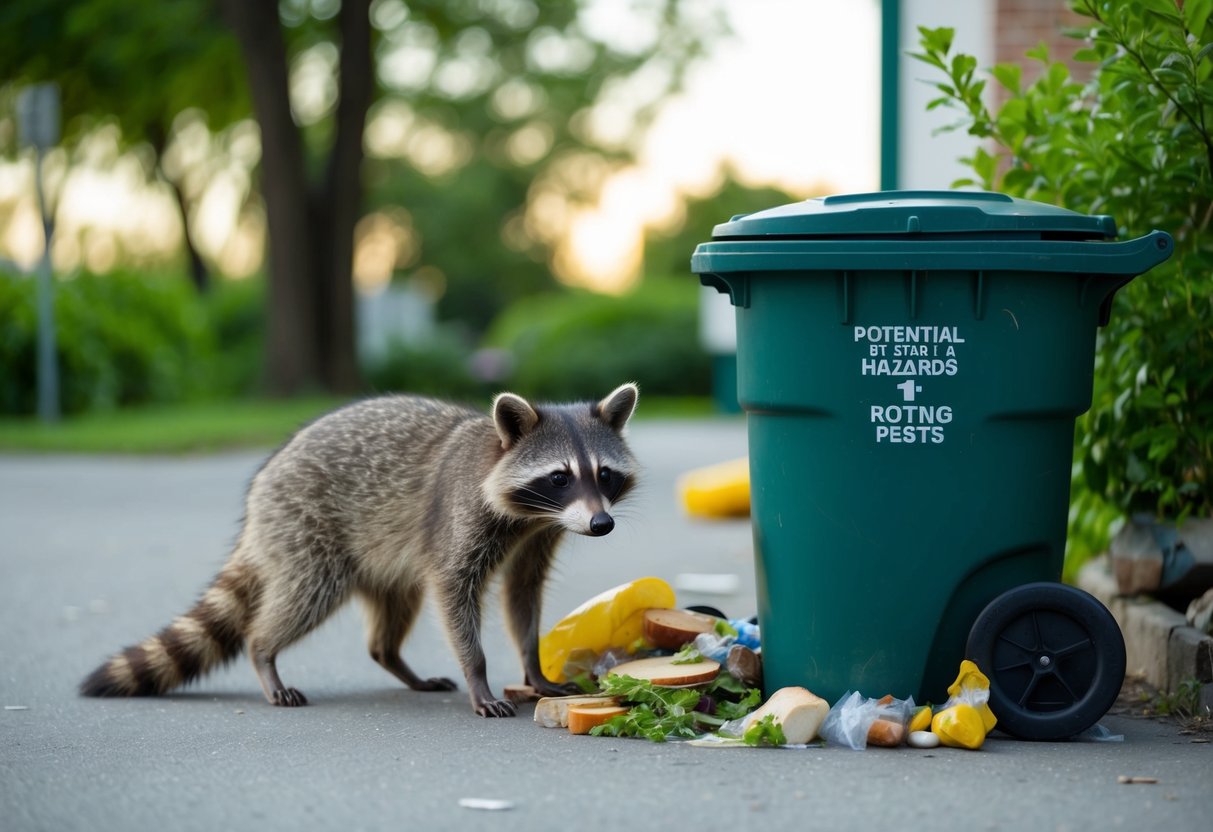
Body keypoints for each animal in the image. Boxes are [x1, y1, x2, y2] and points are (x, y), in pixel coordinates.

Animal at [80, 383, 639, 717]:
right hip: (305, 531)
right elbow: (453, 590)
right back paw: (264, 652)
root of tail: (259, 498)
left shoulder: (538, 534)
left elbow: (522, 594)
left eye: (604, 474)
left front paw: (534, 668)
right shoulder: (460, 518)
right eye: (560, 477)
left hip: (380, 557)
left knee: (394, 611)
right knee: (304, 596)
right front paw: (478, 673)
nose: (602, 524)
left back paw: (395, 660)